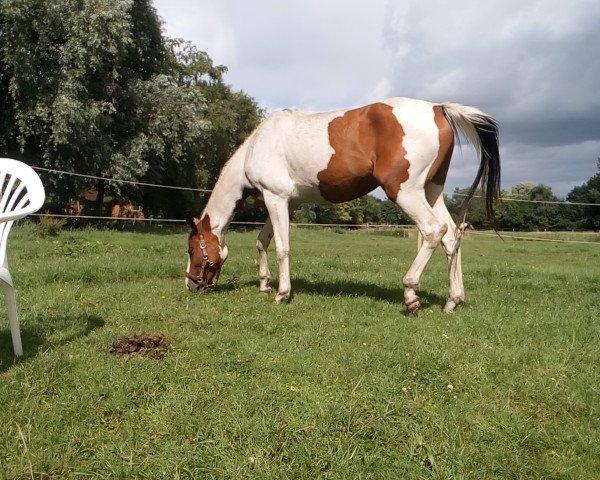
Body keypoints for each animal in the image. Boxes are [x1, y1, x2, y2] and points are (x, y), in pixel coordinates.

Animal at [185, 98, 500, 316]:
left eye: (190, 249)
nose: (190, 285)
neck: (258, 144)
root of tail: (437, 108)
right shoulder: (284, 201)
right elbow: (263, 241)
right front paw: (264, 285)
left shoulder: (276, 198)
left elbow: (281, 248)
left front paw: (281, 294)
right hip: (432, 191)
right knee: (451, 236)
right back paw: (452, 300)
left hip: (406, 192)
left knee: (434, 231)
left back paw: (411, 294)